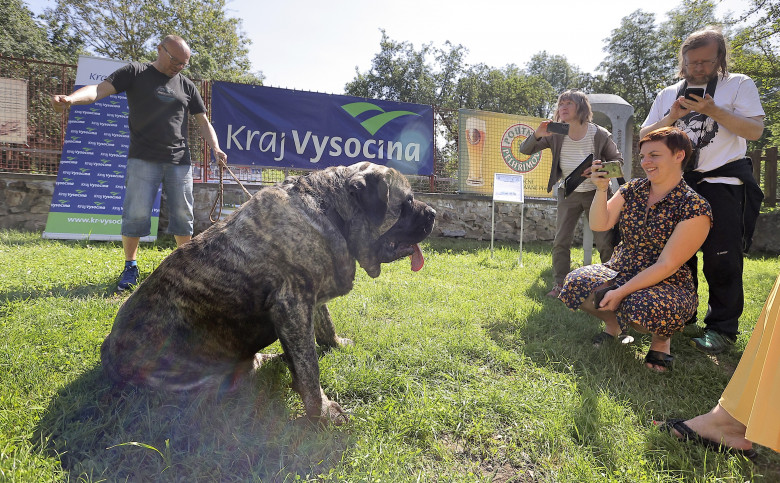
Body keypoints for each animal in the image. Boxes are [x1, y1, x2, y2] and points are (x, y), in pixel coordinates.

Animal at [100, 162, 436, 424]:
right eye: (407, 202)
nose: (433, 212)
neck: (331, 211)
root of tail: (109, 356)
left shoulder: (309, 297)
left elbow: (325, 324)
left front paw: (336, 343)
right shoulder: (292, 304)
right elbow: (310, 368)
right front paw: (323, 411)